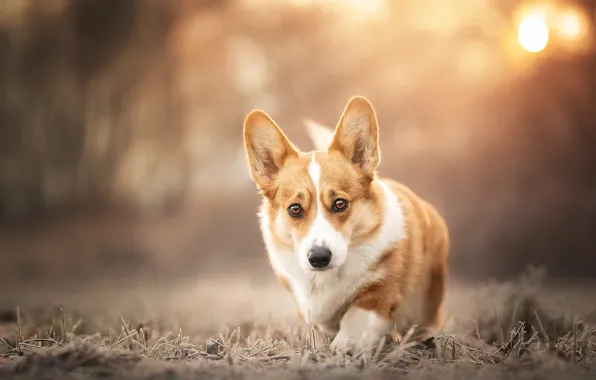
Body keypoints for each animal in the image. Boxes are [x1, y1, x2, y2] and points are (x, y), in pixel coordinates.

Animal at [241, 96, 448, 352]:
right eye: (295, 209)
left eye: (340, 203)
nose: (319, 258)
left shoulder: (380, 290)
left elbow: (355, 317)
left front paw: (343, 347)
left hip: (428, 296)